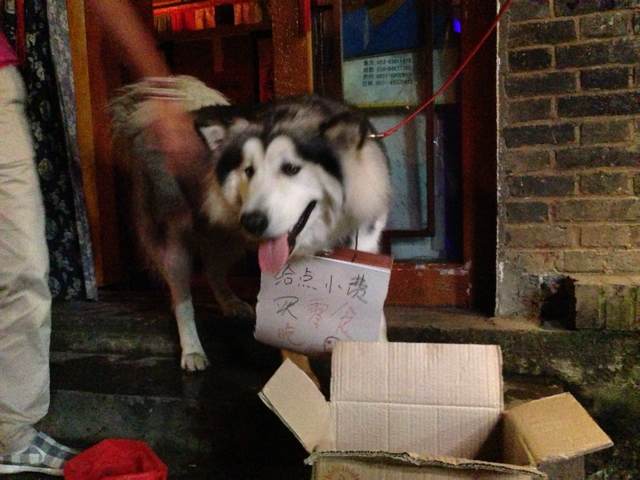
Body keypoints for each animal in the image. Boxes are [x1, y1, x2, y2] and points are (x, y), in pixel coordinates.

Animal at [110, 76, 390, 371]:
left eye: (291, 169)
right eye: (248, 170)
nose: (252, 221)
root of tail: (153, 121)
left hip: (226, 238)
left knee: (212, 269)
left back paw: (230, 303)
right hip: (176, 240)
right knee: (181, 297)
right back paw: (192, 350)